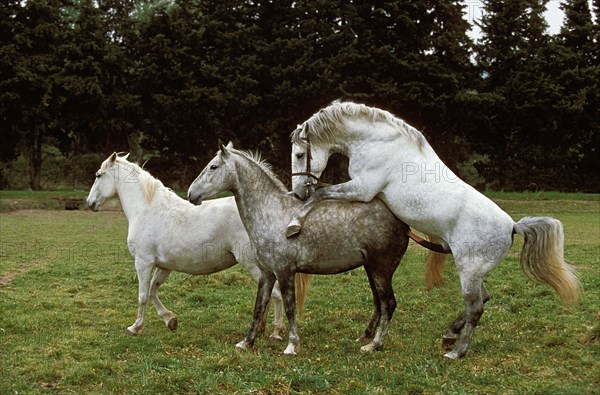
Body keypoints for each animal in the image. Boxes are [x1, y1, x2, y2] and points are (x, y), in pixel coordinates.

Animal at [85, 153, 310, 338]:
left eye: (98, 175)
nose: (89, 203)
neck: (148, 209)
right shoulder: (164, 266)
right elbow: (152, 291)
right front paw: (170, 320)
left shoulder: (143, 263)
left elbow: (142, 295)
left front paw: (135, 327)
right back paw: (262, 329)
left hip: (255, 265)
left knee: (276, 295)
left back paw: (276, 331)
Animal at [288, 101, 580, 358]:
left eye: (300, 155)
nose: (298, 192)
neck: (378, 142)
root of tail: (512, 227)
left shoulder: (362, 188)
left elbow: (321, 194)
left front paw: (294, 224)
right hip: (474, 271)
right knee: (484, 298)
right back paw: (450, 334)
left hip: (468, 270)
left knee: (475, 308)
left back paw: (457, 351)